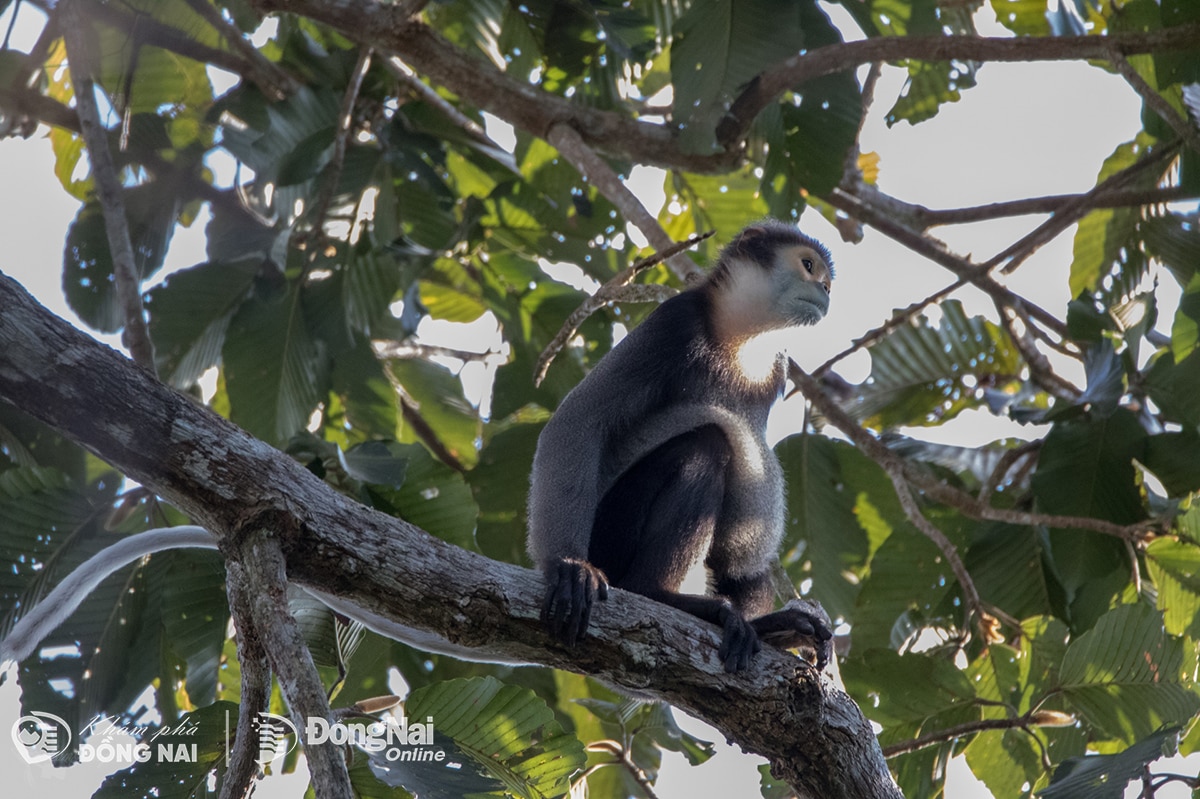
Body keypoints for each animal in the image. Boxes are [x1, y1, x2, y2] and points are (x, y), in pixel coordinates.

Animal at [530, 218, 840, 671]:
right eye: (809, 266)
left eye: (827, 279)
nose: (827, 291)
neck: (741, 338)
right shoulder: (672, 322)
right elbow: (579, 421)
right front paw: (568, 566)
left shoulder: (776, 369)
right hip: (612, 533)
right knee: (706, 446)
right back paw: (656, 594)